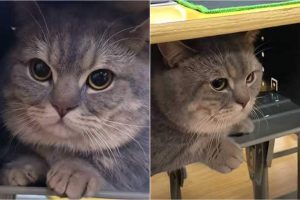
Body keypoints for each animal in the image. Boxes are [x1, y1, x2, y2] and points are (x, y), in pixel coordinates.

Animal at [0, 1, 149, 198]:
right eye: (39, 69)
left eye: (100, 78)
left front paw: (75, 171)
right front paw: (21, 166)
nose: (62, 106)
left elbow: (114, 161)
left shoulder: (139, 159)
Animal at [151, 32, 262, 174]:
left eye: (250, 77)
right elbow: (185, 146)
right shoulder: (158, 149)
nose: (245, 101)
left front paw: (240, 122)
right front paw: (225, 151)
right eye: (218, 84)